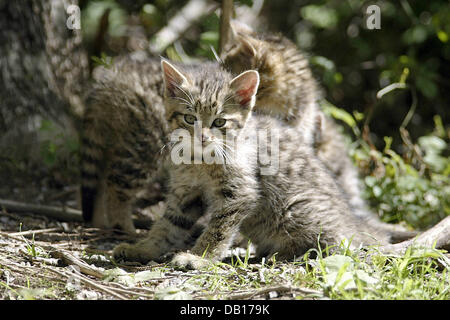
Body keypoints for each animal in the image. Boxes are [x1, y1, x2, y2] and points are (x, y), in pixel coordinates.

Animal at [112, 59, 390, 268]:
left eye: (220, 122)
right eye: (190, 118)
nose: (203, 137)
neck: (199, 161)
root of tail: (353, 222)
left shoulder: (239, 193)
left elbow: (218, 230)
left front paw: (200, 258)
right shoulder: (185, 193)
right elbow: (167, 225)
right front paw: (144, 248)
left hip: (295, 209)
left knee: (334, 244)